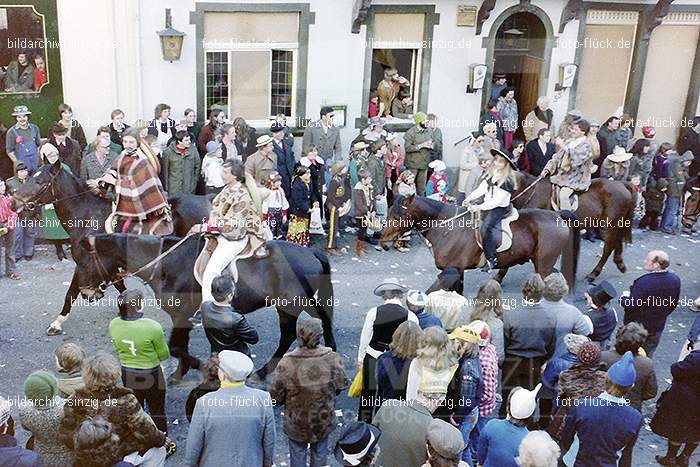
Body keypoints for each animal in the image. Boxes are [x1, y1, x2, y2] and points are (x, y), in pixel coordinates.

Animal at [9, 159, 209, 338]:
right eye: (29, 177)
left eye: (39, 182)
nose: (13, 203)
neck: (86, 216)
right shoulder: (107, 266)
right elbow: (120, 287)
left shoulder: (85, 262)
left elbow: (71, 292)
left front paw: (57, 322)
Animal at [80, 236, 334, 382]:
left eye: (84, 261)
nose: (85, 293)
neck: (167, 263)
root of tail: (311, 252)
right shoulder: (182, 317)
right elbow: (179, 346)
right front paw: (179, 374)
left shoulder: (182, 315)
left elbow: (175, 347)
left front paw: (202, 367)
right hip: (294, 304)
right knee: (315, 323)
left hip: (291, 304)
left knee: (297, 331)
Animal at [380, 194, 584, 288]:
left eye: (398, 216)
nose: (383, 242)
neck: (447, 226)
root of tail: (556, 214)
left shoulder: (454, 269)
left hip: (543, 263)